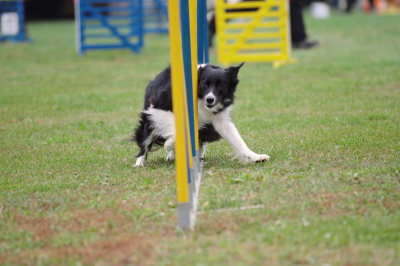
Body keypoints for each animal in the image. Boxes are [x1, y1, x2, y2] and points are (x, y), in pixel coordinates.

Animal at [133, 62, 270, 166]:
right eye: (204, 84)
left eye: (221, 86)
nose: (210, 99)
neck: (200, 99)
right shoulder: (158, 106)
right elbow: (175, 127)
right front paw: (169, 143)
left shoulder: (220, 119)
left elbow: (238, 140)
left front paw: (256, 157)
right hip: (150, 122)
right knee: (145, 142)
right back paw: (140, 163)